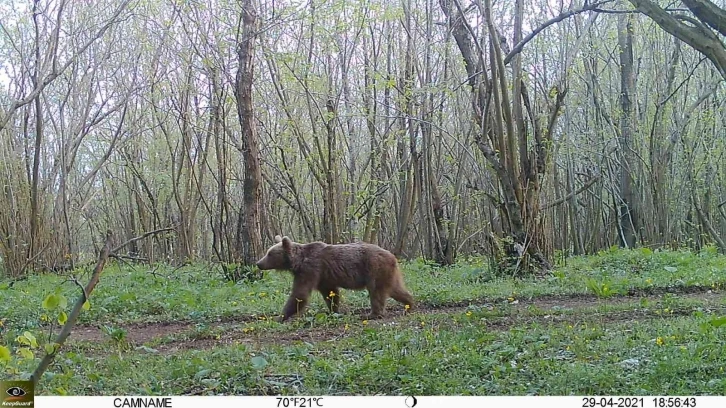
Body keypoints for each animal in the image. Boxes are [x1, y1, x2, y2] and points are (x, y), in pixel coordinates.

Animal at [256, 236, 416, 322]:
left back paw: (373, 314)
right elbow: (330, 293)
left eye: (269, 253)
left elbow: (299, 294)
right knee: (396, 289)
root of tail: (393, 256)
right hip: (388, 273)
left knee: (376, 292)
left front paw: (280, 316)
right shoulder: (323, 276)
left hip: (375, 268)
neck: (298, 262)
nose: (259, 263)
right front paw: (333, 310)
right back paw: (409, 304)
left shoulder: (311, 270)